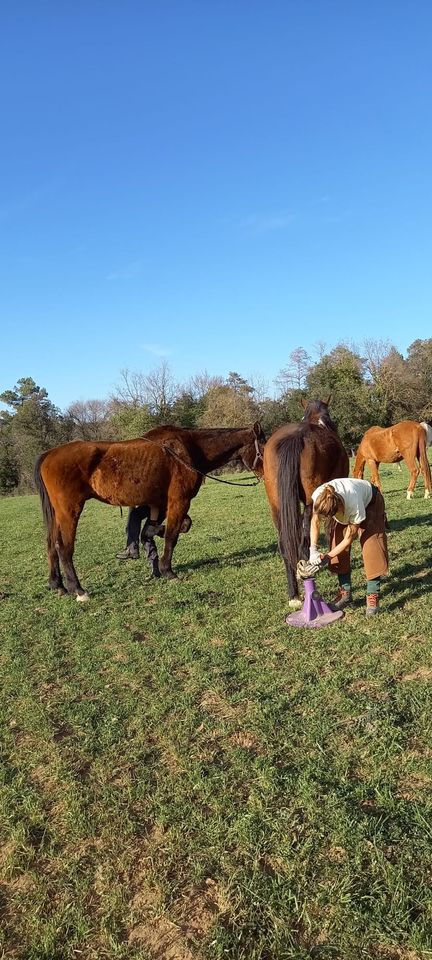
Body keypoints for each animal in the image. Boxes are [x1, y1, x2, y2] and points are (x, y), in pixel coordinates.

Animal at [36, 422, 266, 600]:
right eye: (263, 446)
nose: (268, 473)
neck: (187, 449)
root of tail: (49, 454)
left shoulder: (159, 503)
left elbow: (169, 527)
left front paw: (150, 547)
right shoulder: (179, 501)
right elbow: (172, 536)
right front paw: (167, 571)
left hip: (57, 515)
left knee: (51, 545)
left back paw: (57, 584)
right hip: (69, 512)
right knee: (64, 548)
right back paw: (78, 589)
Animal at [262, 398, 350, 608]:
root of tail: (295, 437)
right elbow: (328, 529)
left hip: (276, 507)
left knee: (286, 543)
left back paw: (294, 592)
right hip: (312, 502)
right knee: (303, 538)